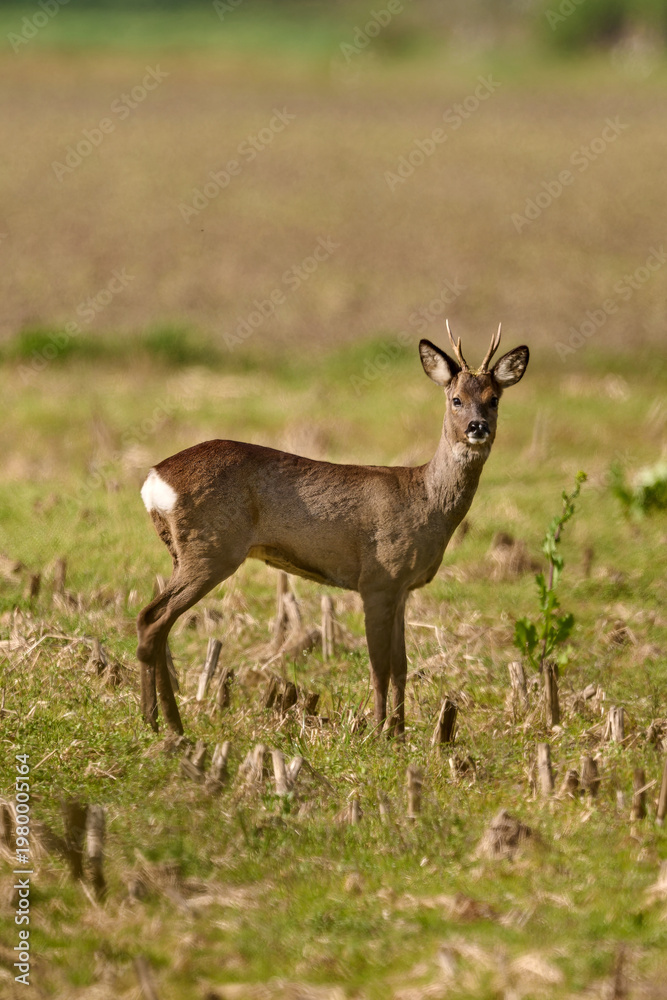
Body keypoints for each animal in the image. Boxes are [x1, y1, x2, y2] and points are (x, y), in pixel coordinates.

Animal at [137, 322, 529, 737]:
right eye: (456, 399)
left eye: (494, 399)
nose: (477, 427)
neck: (425, 498)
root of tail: (154, 479)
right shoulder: (378, 577)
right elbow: (380, 665)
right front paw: (378, 731)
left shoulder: (402, 587)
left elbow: (402, 665)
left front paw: (400, 732)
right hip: (211, 549)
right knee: (153, 619)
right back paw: (164, 723)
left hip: (184, 552)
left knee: (154, 621)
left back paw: (160, 721)